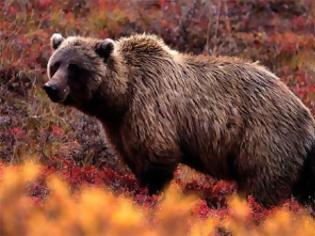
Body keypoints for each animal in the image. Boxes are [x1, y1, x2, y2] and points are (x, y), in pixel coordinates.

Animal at [43, 32, 315, 206]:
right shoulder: (119, 126)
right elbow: (131, 156)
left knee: (262, 186)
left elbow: (158, 155)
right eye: (56, 64)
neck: (121, 96)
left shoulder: (150, 108)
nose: (51, 88)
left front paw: (152, 194)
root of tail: (305, 112)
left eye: (74, 67)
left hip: (265, 138)